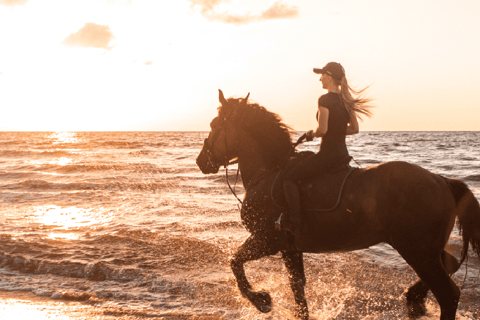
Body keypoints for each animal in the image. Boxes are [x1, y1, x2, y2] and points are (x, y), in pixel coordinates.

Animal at [195, 90, 480, 320]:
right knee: (450, 265)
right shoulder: (289, 247)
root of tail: (442, 180)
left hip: (417, 250)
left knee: (448, 294)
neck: (269, 172)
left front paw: (262, 300)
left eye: (214, 124)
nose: (201, 161)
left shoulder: (266, 240)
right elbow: (297, 288)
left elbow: (235, 263)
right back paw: (414, 298)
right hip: (427, 250)